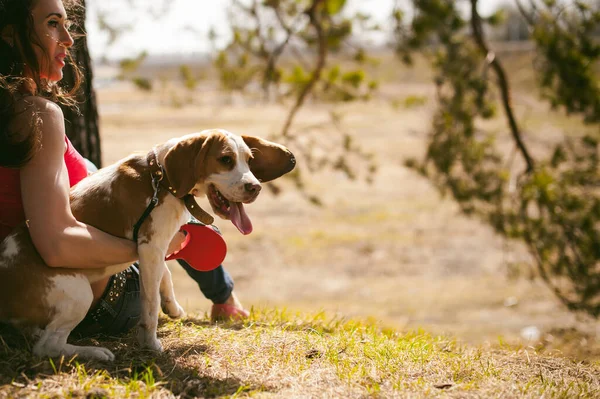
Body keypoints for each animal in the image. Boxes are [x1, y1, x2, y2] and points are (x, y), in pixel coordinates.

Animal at [0, 130, 296, 360]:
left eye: (250, 161)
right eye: (225, 160)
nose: (255, 188)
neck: (161, 177)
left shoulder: (154, 248)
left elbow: (165, 276)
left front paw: (173, 307)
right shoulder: (151, 246)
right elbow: (151, 304)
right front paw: (151, 343)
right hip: (78, 294)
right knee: (47, 347)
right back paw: (94, 352)